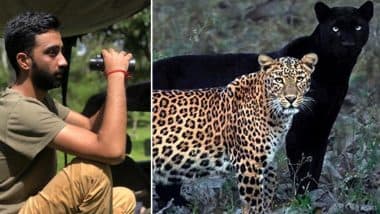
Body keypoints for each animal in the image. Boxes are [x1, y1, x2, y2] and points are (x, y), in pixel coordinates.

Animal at [151, 52, 318, 213]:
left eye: (299, 79)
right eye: (279, 80)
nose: (291, 98)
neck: (277, 116)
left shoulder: (267, 163)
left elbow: (265, 196)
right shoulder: (249, 164)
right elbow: (256, 206)